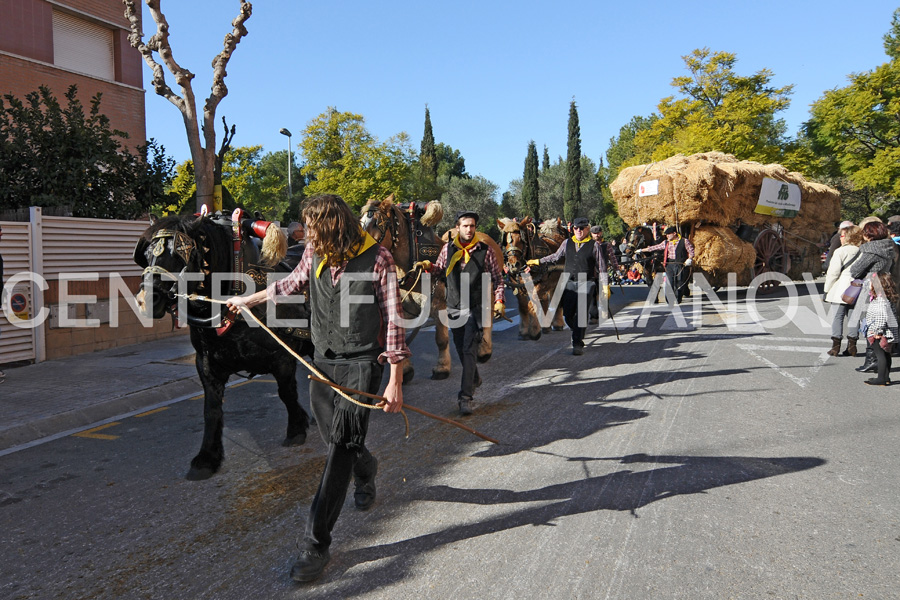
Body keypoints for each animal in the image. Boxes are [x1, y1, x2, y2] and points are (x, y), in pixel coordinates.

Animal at [134, 213, 312, 480]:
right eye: (146, 254)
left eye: (179, 254)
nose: (146, 301)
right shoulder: (207, 364)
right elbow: (211, 409)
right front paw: (207, 458)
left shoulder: (282, 357)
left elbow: (286, 393)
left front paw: (297, 428)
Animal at [358, 197, 500, 384]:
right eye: (360, 222)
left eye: (376, 223)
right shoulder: (401, 308)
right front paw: (405, 371)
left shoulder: (438, 306)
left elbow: (441, 340)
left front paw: (442, 367)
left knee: (486, 318)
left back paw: (484, 350)